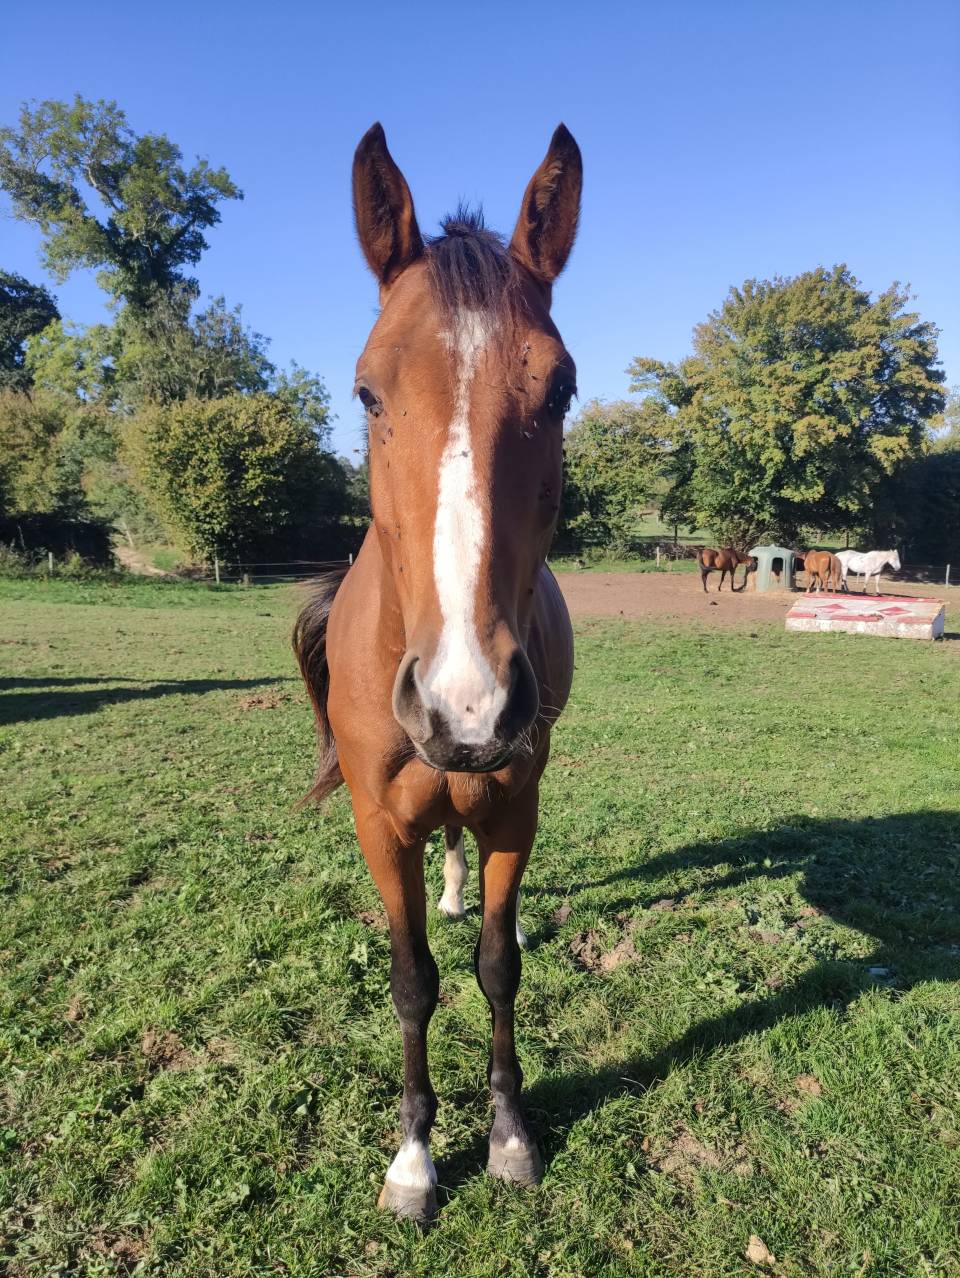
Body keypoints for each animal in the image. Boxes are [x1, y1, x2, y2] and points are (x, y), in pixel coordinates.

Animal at [293, 123, 581, 1223]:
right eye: (367, 391)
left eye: (561, 388)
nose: (469, 704)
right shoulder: (380, 824)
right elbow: (413, 978)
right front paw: (415, 1157)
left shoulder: (515, 808)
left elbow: (498, 967)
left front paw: (508, 1136)